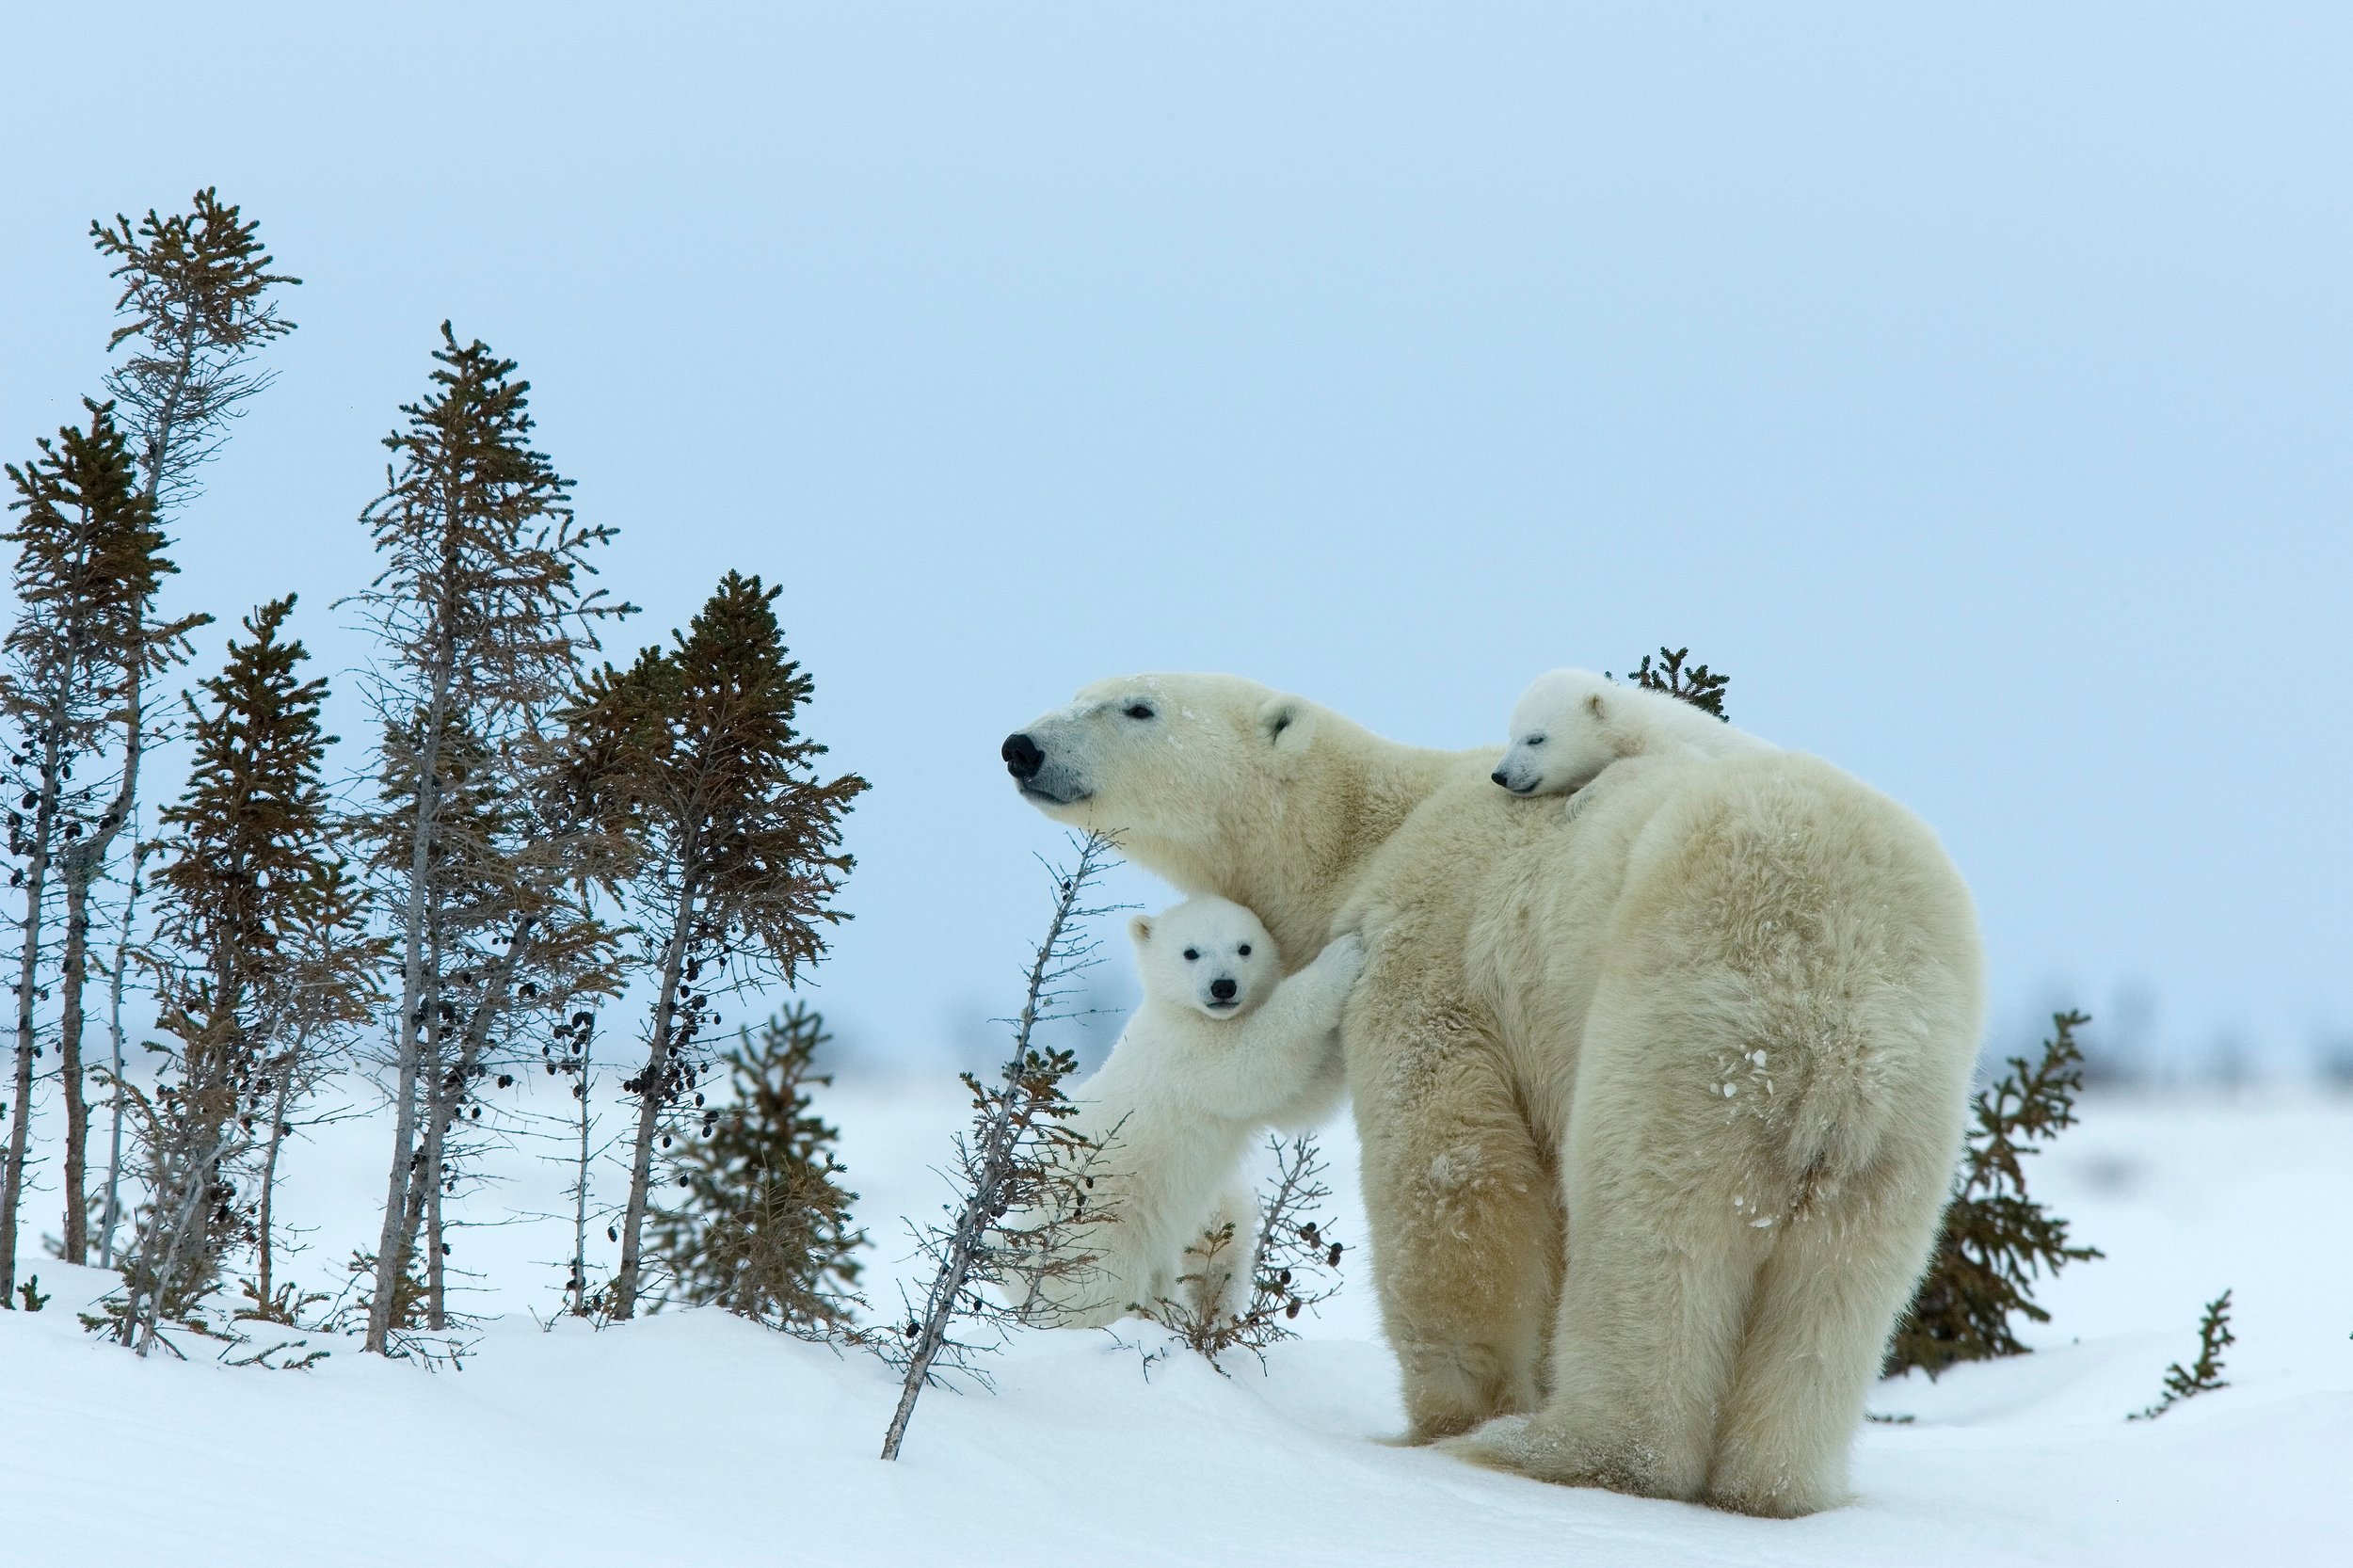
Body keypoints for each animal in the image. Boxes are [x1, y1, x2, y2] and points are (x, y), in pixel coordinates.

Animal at [1022, 894, 1364, 1331]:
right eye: (1191, 952)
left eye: (1244, 947)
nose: (1223, 986)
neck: (1182, 1012)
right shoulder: (1185, 1054)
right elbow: (1251, 1058)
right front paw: (1344, 955)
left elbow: (1303, 1097)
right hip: (1094, 1233)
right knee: (1100, 1294)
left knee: (1222, 1244)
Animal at [1492, 667, 1772, 818]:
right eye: (1511, 735)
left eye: (1536, 739)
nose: (1500, 775)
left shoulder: (1671, 741)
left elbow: (1669, 760)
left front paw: (1579, 800)